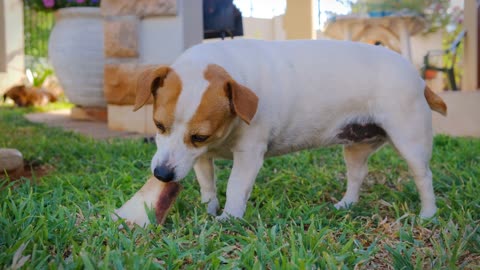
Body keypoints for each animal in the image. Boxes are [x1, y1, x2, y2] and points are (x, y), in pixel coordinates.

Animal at [112, 39, 446, 226]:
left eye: (200, 136)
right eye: (159, 125)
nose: (162, 175)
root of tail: (418, 77)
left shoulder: (246, 154)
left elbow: (236, 187)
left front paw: (228, 219)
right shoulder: (200, 158)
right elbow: (208, 184)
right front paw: (209, 210)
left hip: (410, 140)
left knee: (423, 177)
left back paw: (428, 214)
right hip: (356, 146)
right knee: (356, 175)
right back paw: (346, 204)